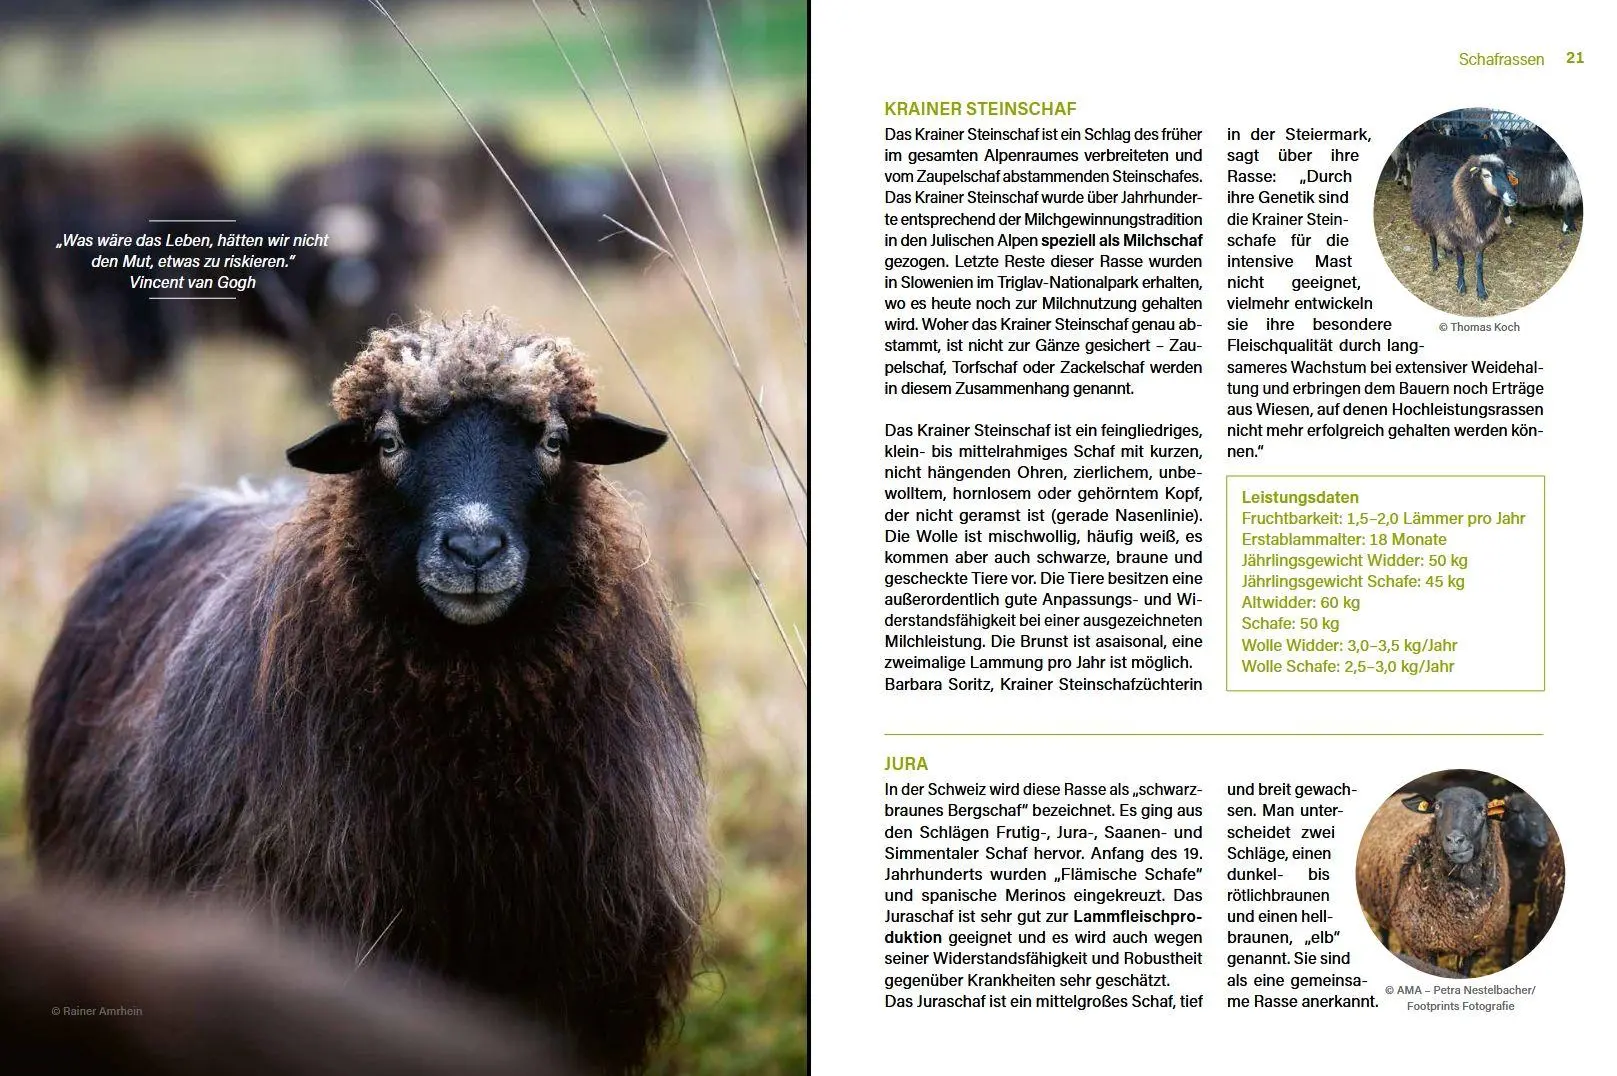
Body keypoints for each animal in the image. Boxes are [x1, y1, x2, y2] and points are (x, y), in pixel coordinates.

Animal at [1355, 787, 1510, 973]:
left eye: (1483, 811)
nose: (1455, 840)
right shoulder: (1423, 946)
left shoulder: (1473, 948)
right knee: (1384, 931)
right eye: (1437, 807)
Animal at [1410, 153, 1517, 302]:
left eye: (1507, 174)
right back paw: (1435, 263)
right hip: (1427, 217)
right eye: (1486, 175)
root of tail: (1431, 155)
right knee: (1432, 240)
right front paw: (1461, 286)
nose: (1513, 197)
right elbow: (1460, 262)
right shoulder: (1457, 234)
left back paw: (1448, 251)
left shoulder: (1481, 234)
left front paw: (1481, 291)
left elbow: (1479, 264)